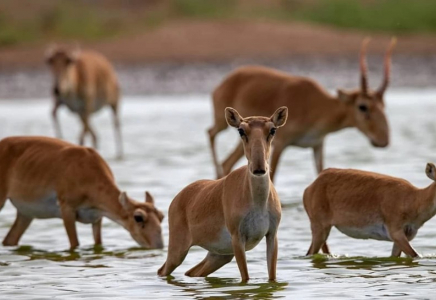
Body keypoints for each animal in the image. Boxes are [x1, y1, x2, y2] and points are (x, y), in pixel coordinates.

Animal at [0, 137, 164, 250]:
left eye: (161, 216)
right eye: (138, 217)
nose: (159, 246)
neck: (88, 171)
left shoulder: (97, 218)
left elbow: (98, 243)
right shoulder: (67, 209)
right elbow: (75, 244)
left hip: (26, 214)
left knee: (9, 240)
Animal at [158, 106, 288, 282]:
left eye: (273, 129)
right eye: (241, 130)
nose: (259, 168)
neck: (258, 202)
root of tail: (177, 199)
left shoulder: (272, 235)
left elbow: (272, 278)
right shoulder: (237, 238)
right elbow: (245, 277)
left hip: (219, 255)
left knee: (193, 271)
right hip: (178, 250)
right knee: (163, 270)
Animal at [208, 38, 396, 182]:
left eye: (383, 105)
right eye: (363, 106)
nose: (383, 140)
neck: (318, 106)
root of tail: (226, 81)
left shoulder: (317, 145)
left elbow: (320, 174)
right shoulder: (281, 143)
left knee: (227, 162)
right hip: (223, 123)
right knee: (211, 133)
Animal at [304, 164, 436, 258]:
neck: (414, 199)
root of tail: (311, 186)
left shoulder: (404, 237)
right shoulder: (396, 232)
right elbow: (415, 255)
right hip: (320, 228)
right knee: (310, 253)